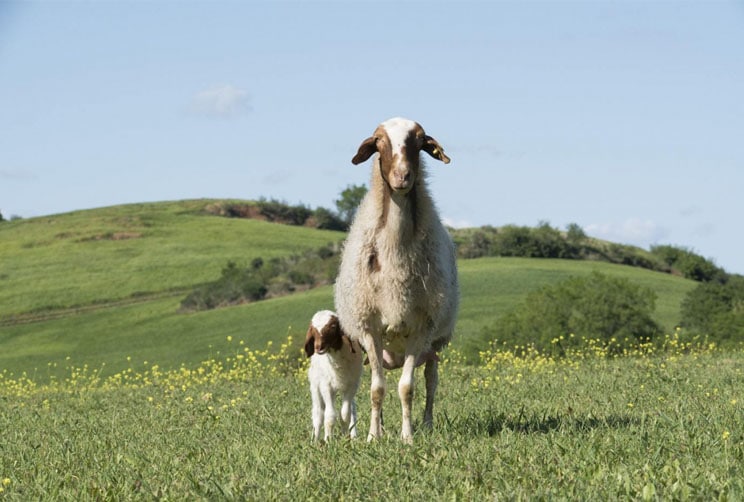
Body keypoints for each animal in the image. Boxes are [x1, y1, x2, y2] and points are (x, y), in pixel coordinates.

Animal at [304, 308, 364, 442]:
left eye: (333, 326)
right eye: (313, 330)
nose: (318, 347)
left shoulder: (352, 385)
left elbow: (345, 414)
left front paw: (345, 437)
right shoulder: (326, 386)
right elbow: (329, 415)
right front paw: (328, 440)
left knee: (352, 410)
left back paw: (353, 436)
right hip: (315, 386)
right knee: (318, 414)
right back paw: (315, 440)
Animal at [336, 117, 460, 444]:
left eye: (420, 141)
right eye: (379, 141)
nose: (402, 177)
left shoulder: (422, 327)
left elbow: (408, 388)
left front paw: (408, 437)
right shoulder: (369, 328)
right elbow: (376, 389)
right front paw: (373, 436)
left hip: (435, 343)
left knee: (431, 381)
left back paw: (427, 424)